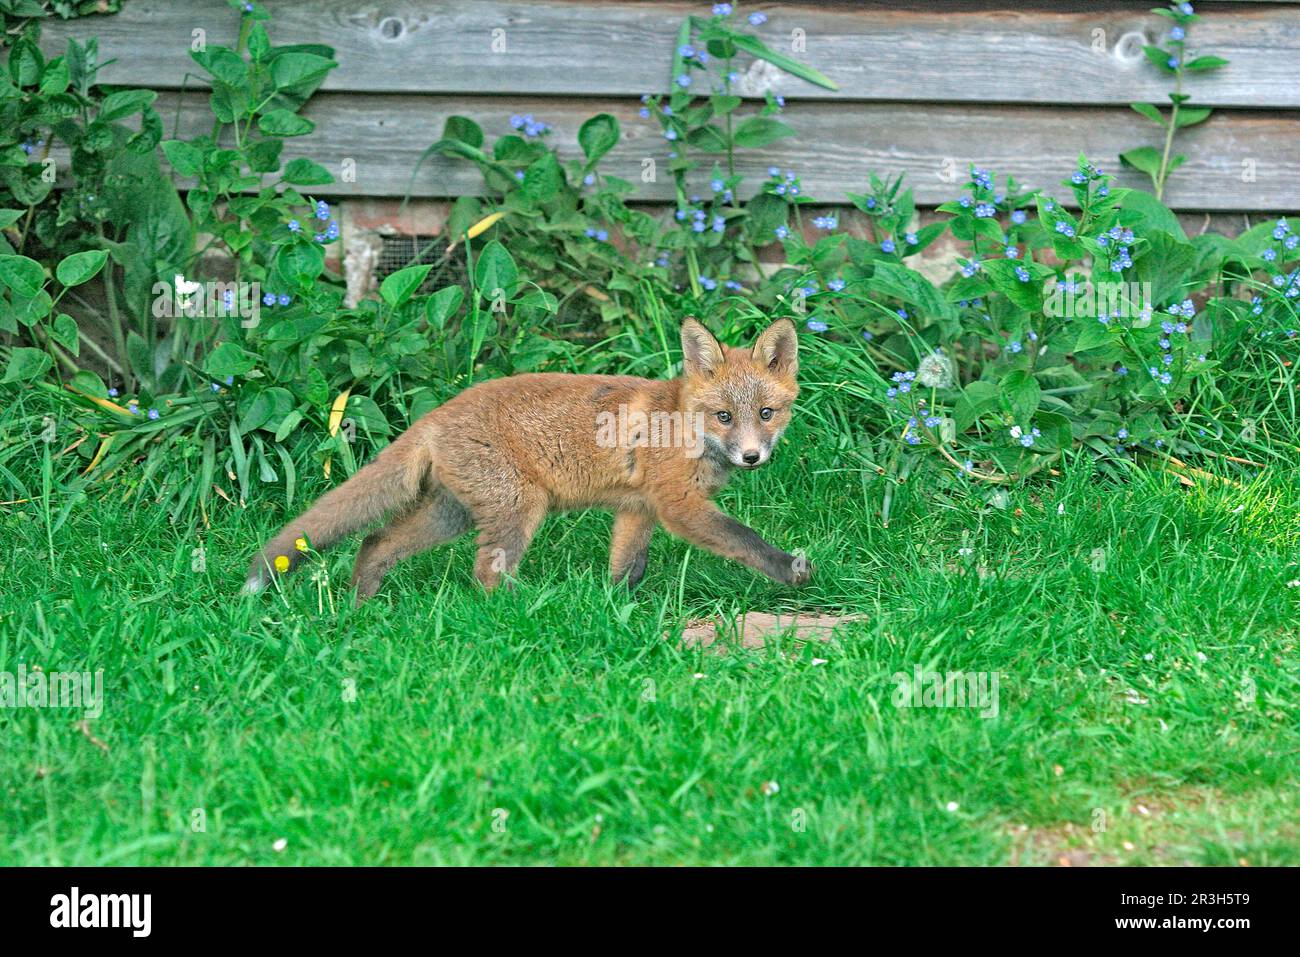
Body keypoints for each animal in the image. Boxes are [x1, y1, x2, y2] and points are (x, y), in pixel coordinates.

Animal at [244, 317, 812, 601]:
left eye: (766, 413)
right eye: (723, 416)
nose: (752, 456)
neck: (682, 426)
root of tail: (435, 415)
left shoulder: (637, 508)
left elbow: (627, 569)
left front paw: (616, 613)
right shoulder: (678, 505)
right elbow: (744, 539)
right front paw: (789, 571)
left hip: (452, 514)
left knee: (375, 540)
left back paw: (360, 606)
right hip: (519, 507)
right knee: (485, 574)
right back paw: (520, 613)